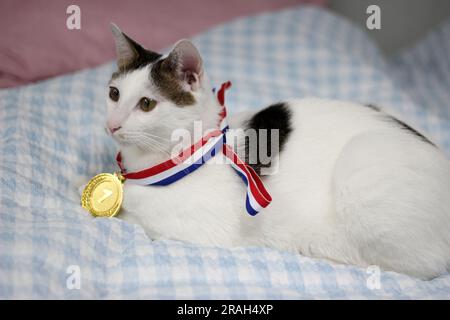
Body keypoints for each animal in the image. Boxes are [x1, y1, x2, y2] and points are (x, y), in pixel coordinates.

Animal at [94, 24, 450, 280]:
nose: (112, 124)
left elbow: (137, 209)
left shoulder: (202, 227)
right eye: (114, 93)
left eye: (146, 104)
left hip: (363, 166)